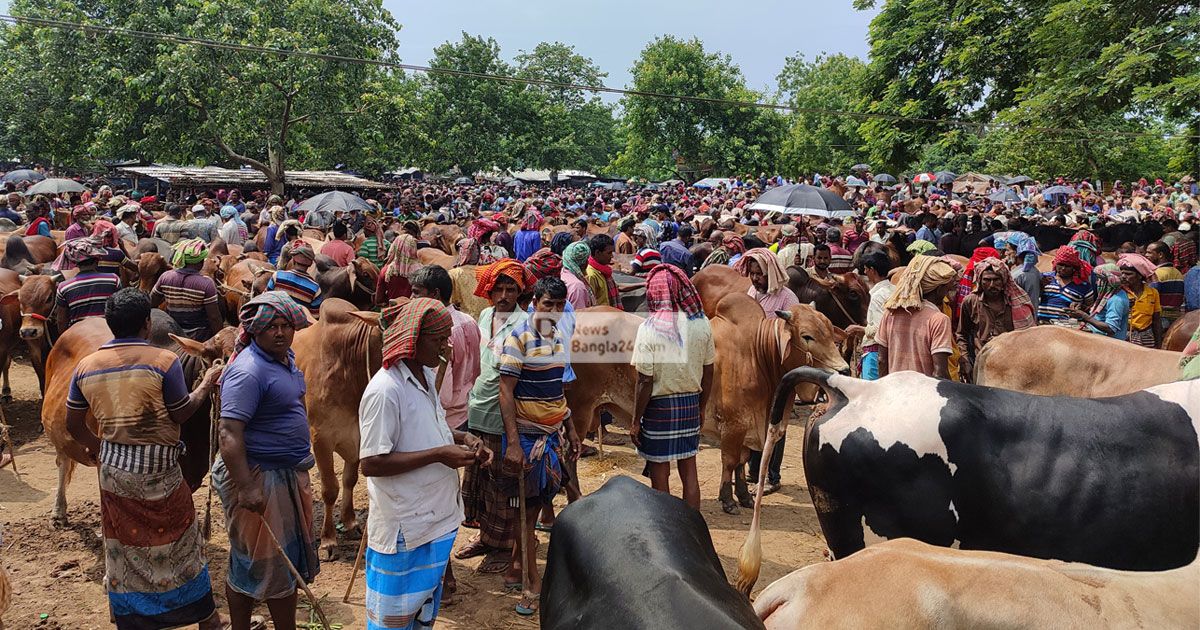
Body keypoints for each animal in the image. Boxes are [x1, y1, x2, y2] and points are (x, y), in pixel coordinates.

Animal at [286, 297, 376, 556]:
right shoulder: (321, 439)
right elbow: (330, 489)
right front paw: (328, 540)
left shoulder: (360, 437)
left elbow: (349, 480)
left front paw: (350, 522)